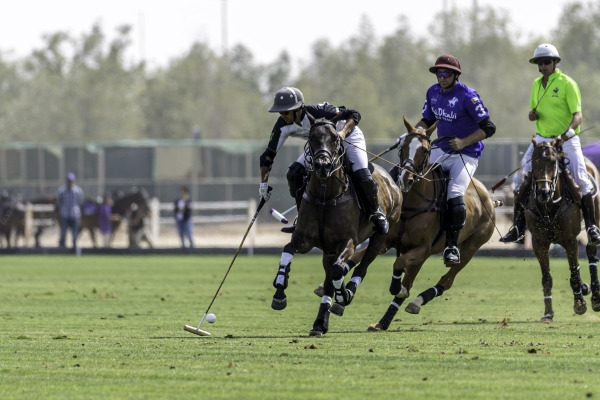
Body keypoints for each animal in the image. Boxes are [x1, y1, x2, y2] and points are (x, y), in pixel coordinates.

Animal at [270, 118, 404, 334]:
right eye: (311, 137)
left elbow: (337, 271)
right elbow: (288, 249)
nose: (322, 166)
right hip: (329, 249)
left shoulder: (348, 241)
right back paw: (319, 324)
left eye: (334, 138)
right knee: (328, 280)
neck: (325, 195)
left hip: (380, 236)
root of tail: (392, 181)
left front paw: (343, 295)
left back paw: (346, 294)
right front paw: (280, 290)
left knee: (362, 266)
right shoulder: (305, 239)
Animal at [366, 115, 496, 332]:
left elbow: (399, 265)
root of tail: (490, 197)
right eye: (402, 147)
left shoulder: (423, 248)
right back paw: (383, 322)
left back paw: (417, 301)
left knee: (447, 279)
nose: (406, 179)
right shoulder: (387, 242)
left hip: (471, 246)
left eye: (425, 151)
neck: (410, 203)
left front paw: (396, 287)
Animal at [524, 139, 600, 320]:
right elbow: (546, 278)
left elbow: (573, 273)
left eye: (553, 162)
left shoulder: (569, 240)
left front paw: (579, 305)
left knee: (591, 252)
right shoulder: (539, 242)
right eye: (533, 162)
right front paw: (548, 313)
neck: (549, 206)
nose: (543, 193)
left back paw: (595, 299)